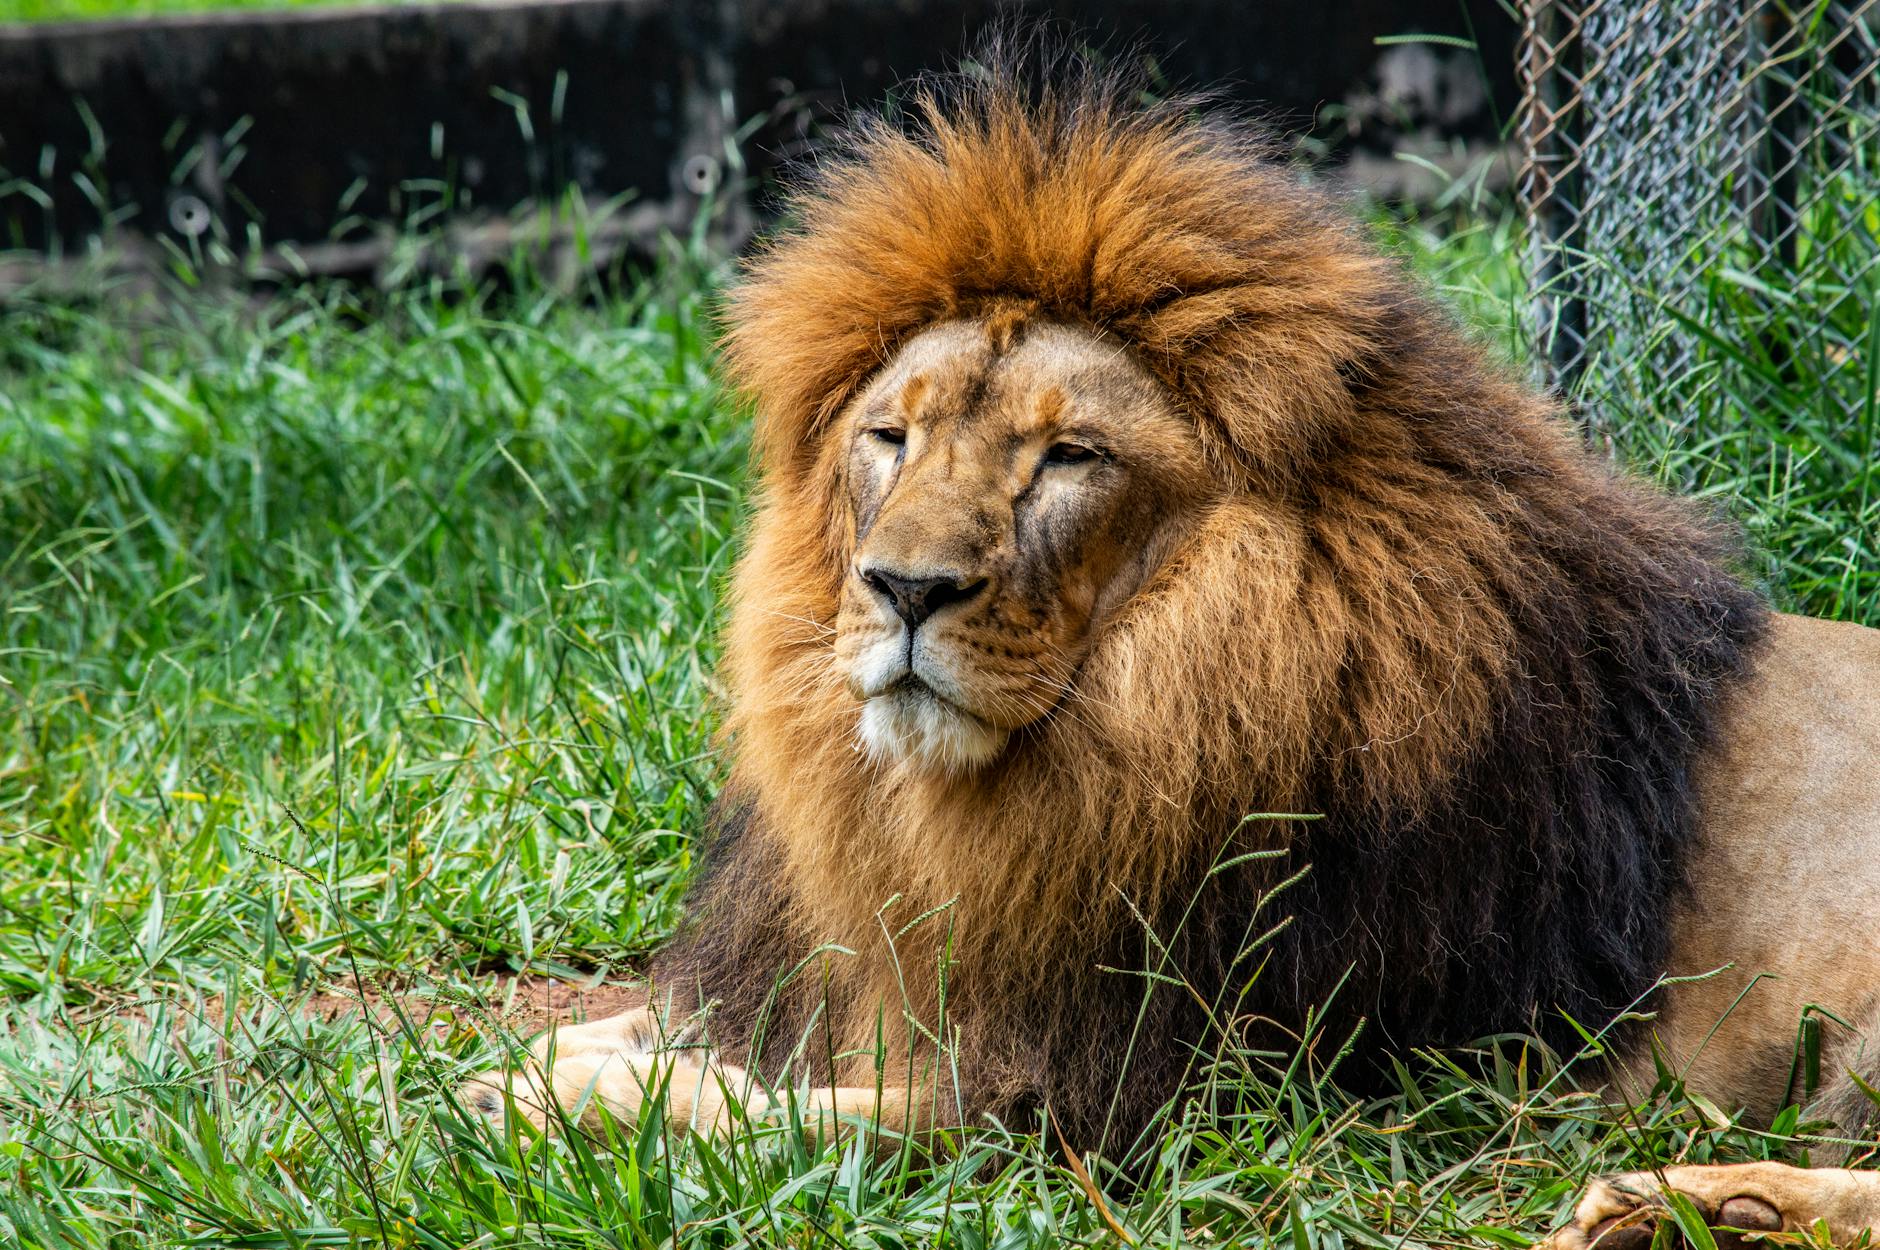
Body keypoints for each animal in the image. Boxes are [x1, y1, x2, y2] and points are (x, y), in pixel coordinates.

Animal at [467, 58, 1880, 1246]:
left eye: (1068, 456)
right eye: (890, 436)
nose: (903, 588)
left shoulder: (1139, 1094)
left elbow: (784, 1117)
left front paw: (546, 1099)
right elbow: (688, 1028)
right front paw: (526, 1062)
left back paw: (1677, 1199)